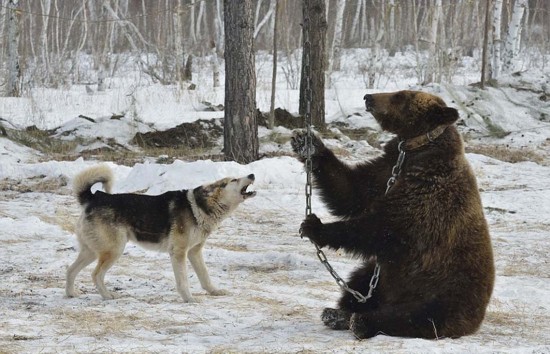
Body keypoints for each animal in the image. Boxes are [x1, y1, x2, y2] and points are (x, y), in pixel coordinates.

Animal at [66, 165, 256, 302]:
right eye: (234, 180)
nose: (252, 174)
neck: (200, 207)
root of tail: (94, 198)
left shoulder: (194, 252)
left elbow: (205, 276)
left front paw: (214, 291)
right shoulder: (179, 253)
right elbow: (183, 281)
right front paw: (189, 299)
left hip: (92, 252)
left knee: (70, 270)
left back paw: (71, 294)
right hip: (113, 251)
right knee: (96, 275)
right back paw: (107, 296)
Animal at [294, 90, 496, 338]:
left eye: (401, 96)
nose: (368, 97)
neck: (413, 150)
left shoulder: (428, 191)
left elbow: (383, 227)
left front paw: (315, 226)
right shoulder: (385, 171)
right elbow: (352, 190)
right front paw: (307, 143)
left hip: (445, 290)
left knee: (418, 315)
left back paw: (362, 321)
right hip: (382, 277)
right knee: (362, 281)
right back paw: (338, 313)